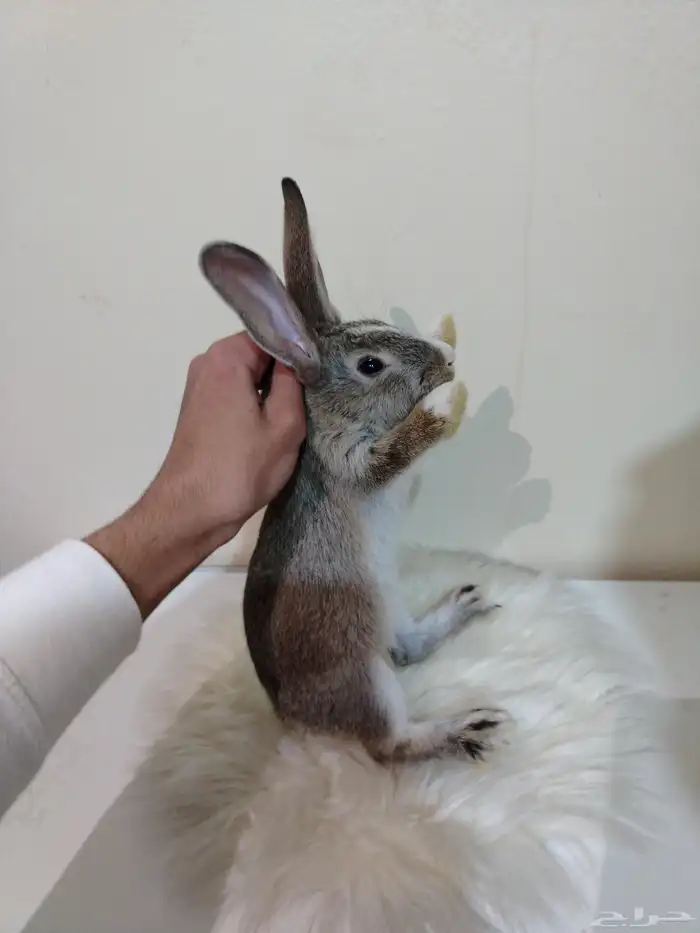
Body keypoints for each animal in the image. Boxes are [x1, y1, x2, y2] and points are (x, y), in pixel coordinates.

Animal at [198, 177, 507, 764]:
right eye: (369, 366)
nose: (447, 361)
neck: (335, 414)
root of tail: (291, 714)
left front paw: (446, 335)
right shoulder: (355, 460)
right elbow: (402, 446)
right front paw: (445, 400)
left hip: (389, 607)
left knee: (407, 649)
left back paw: (465, 603)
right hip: (365, 676)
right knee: (391, 743)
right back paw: (465, 726)